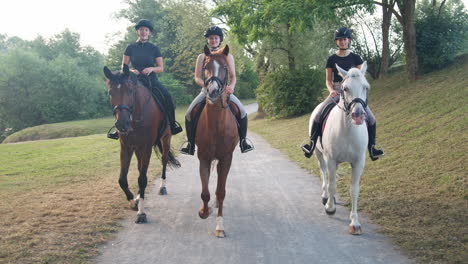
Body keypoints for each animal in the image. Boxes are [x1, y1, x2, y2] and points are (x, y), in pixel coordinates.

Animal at [104, 65, 181, 224]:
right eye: (110, 92)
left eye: (130, 90)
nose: (122, 124)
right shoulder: (126, 147)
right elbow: (123, 179)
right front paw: (133, 201)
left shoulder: (146, 147)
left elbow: (142, 179)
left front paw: (141, 213)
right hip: (138, 149)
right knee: (140, 168)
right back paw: (139, 196)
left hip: (165, 140)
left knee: (164, 162)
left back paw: (162, 188)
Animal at [308, 62, 372, 235]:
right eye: (345, 88)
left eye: (366, 87)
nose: (358, 115)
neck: (347, 130)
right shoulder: (330, 159)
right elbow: (332, 184)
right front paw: (330, 208)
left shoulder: (358, 162)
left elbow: (354, 190)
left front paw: (355, 222)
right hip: (319, 154)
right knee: (324, 173)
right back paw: (326, 197)